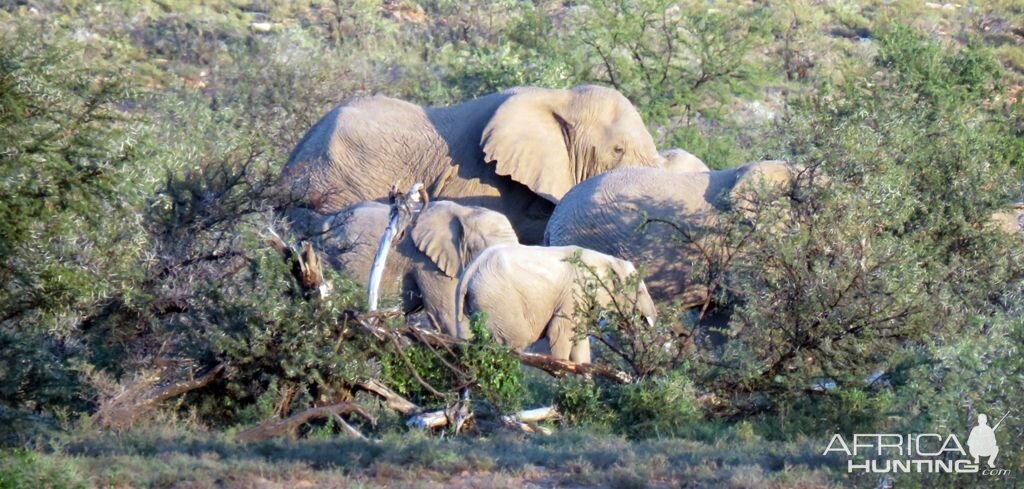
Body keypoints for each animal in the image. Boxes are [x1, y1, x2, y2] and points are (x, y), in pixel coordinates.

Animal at [454, 244, 655, 362]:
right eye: (640, 292)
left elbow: (579, 340)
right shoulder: (573, 293)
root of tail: (470, 269)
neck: (607, 259)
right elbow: (559, 333)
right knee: (514, 342)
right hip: (498, 298)